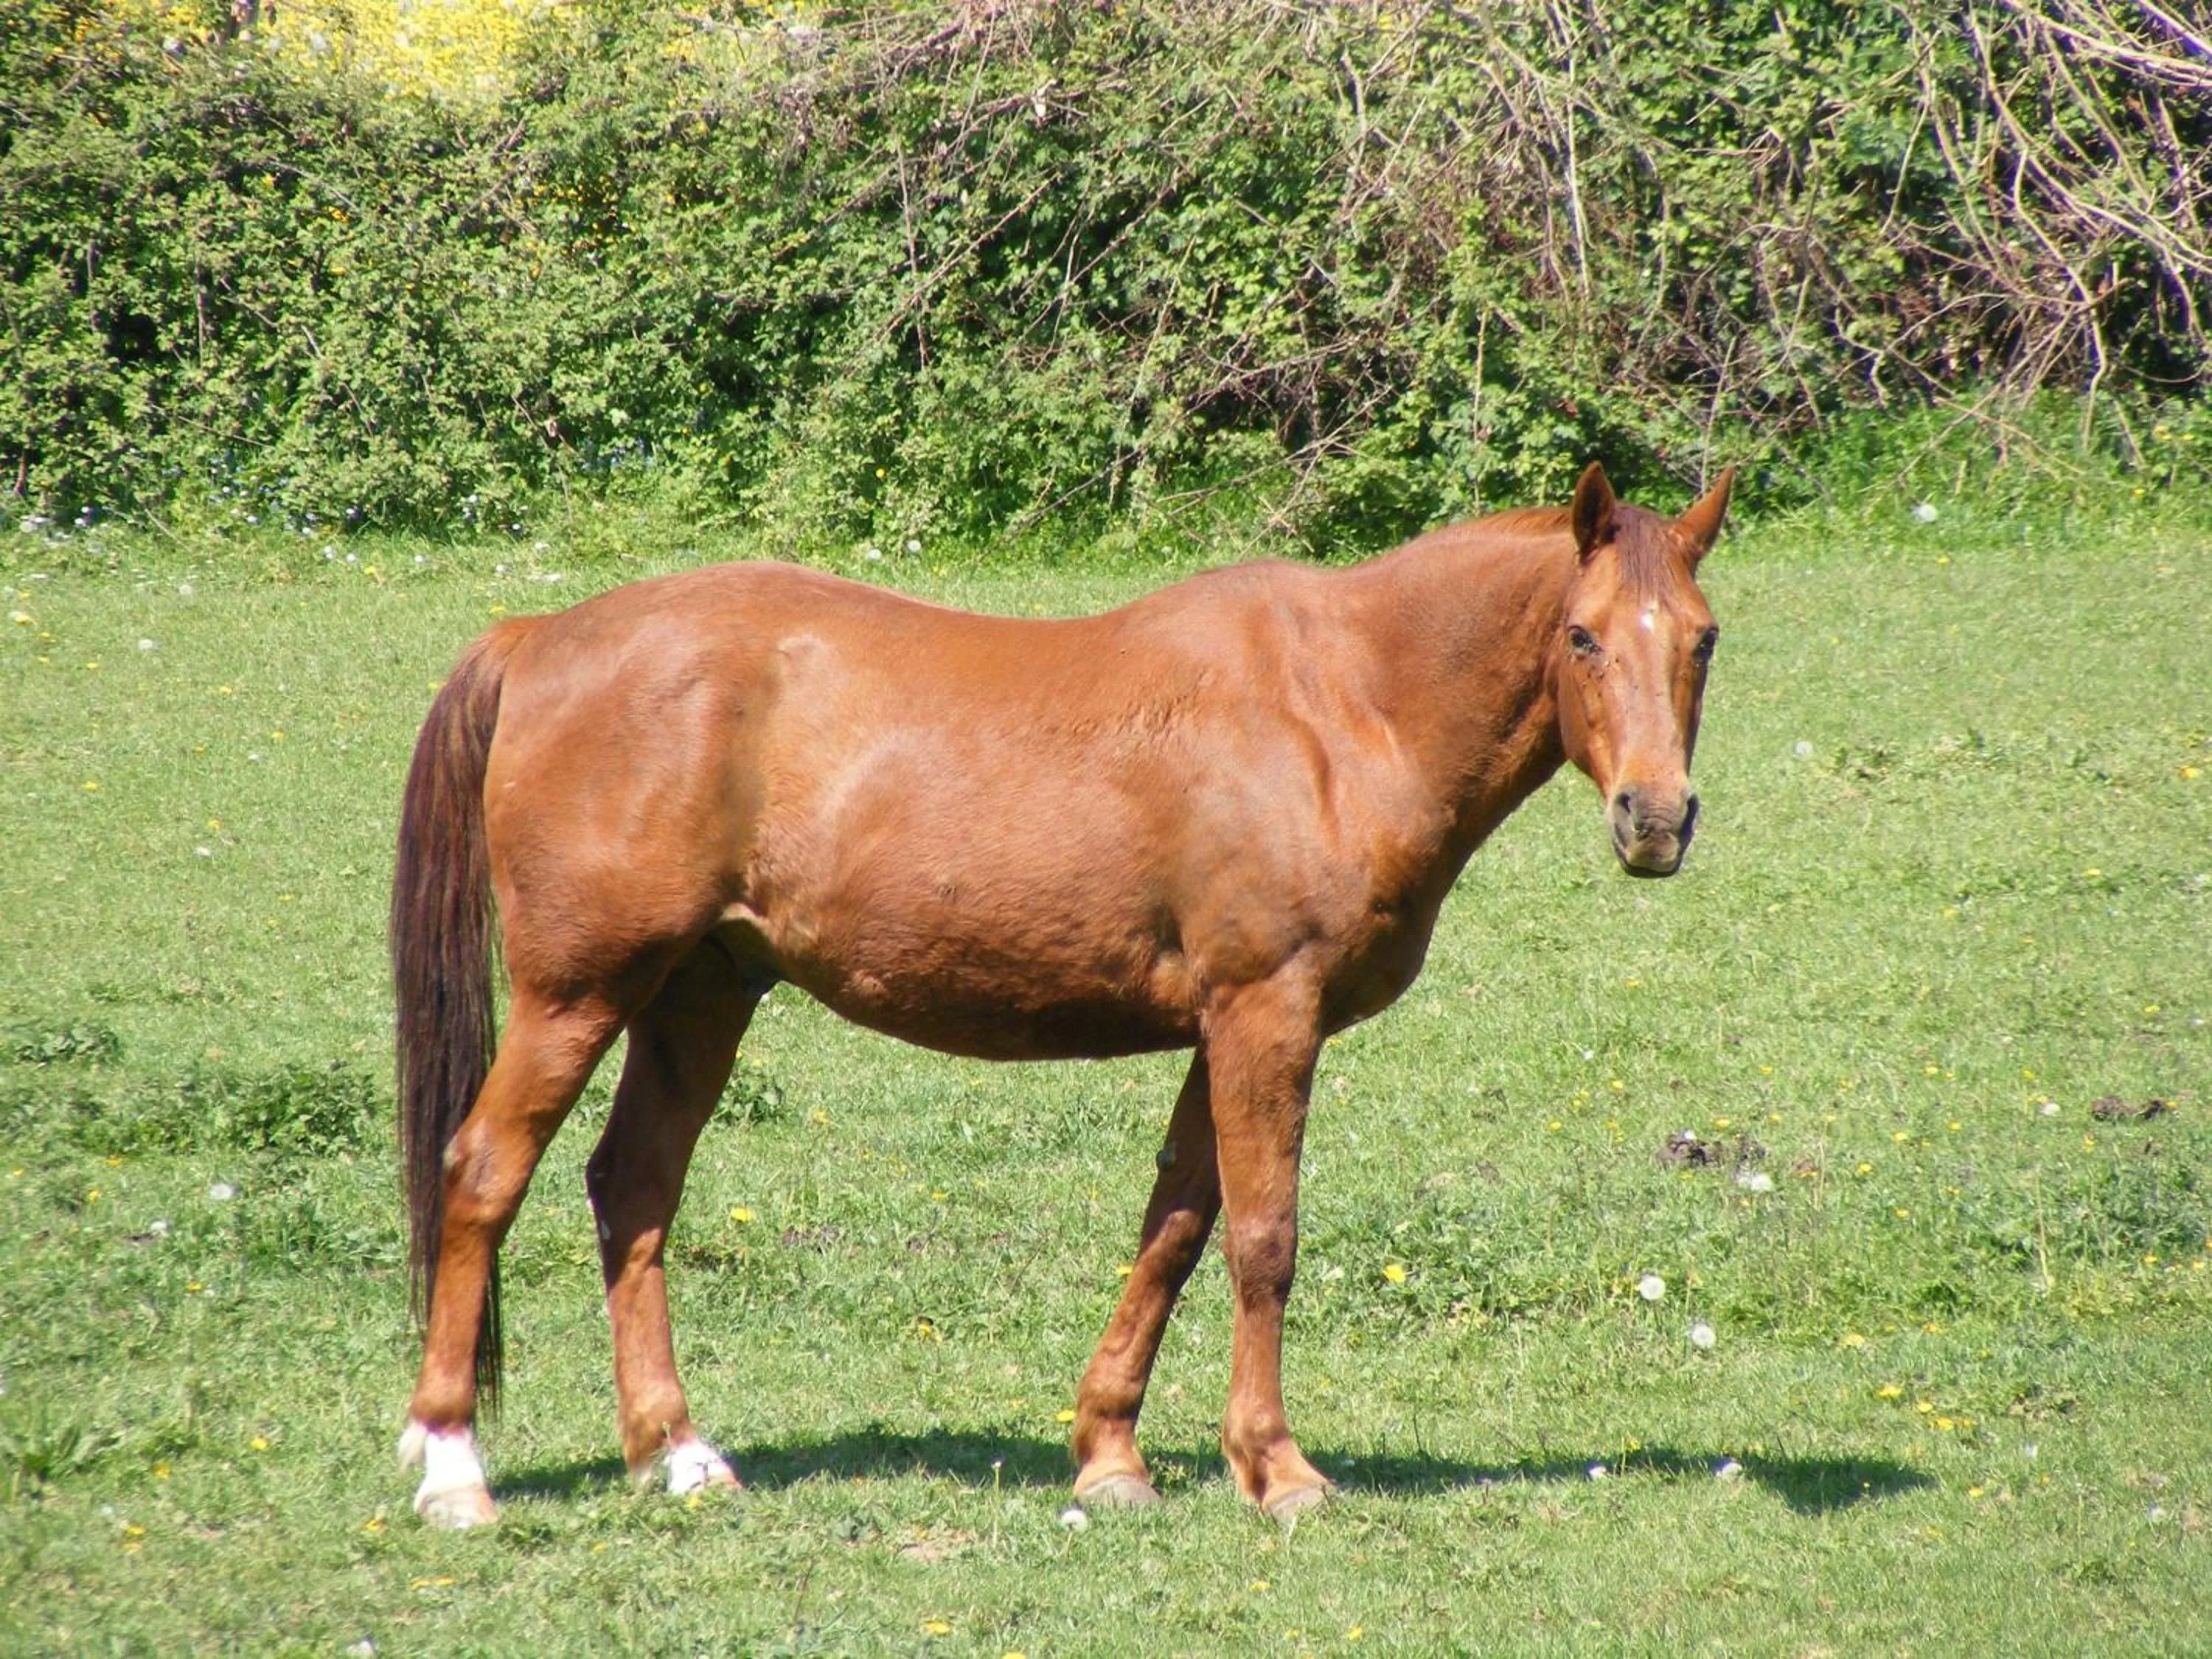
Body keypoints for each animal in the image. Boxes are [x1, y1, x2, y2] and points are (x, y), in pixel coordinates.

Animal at [391, 461, 1733, 1528]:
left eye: (1703, 637)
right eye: (1583, 637)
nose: (1656, 820)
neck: (1342, 707)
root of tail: (540, 635)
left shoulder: (1220, 1028)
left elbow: (1176, 1229)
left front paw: (1110, 1453)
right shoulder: (1266, 1013)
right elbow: (1263, 1240)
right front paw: (1277, 1468)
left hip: (699, 995)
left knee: (634, 1189)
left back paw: (676, 1453)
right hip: (579, 993)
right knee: (484, 1174)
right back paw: (454, 1464)